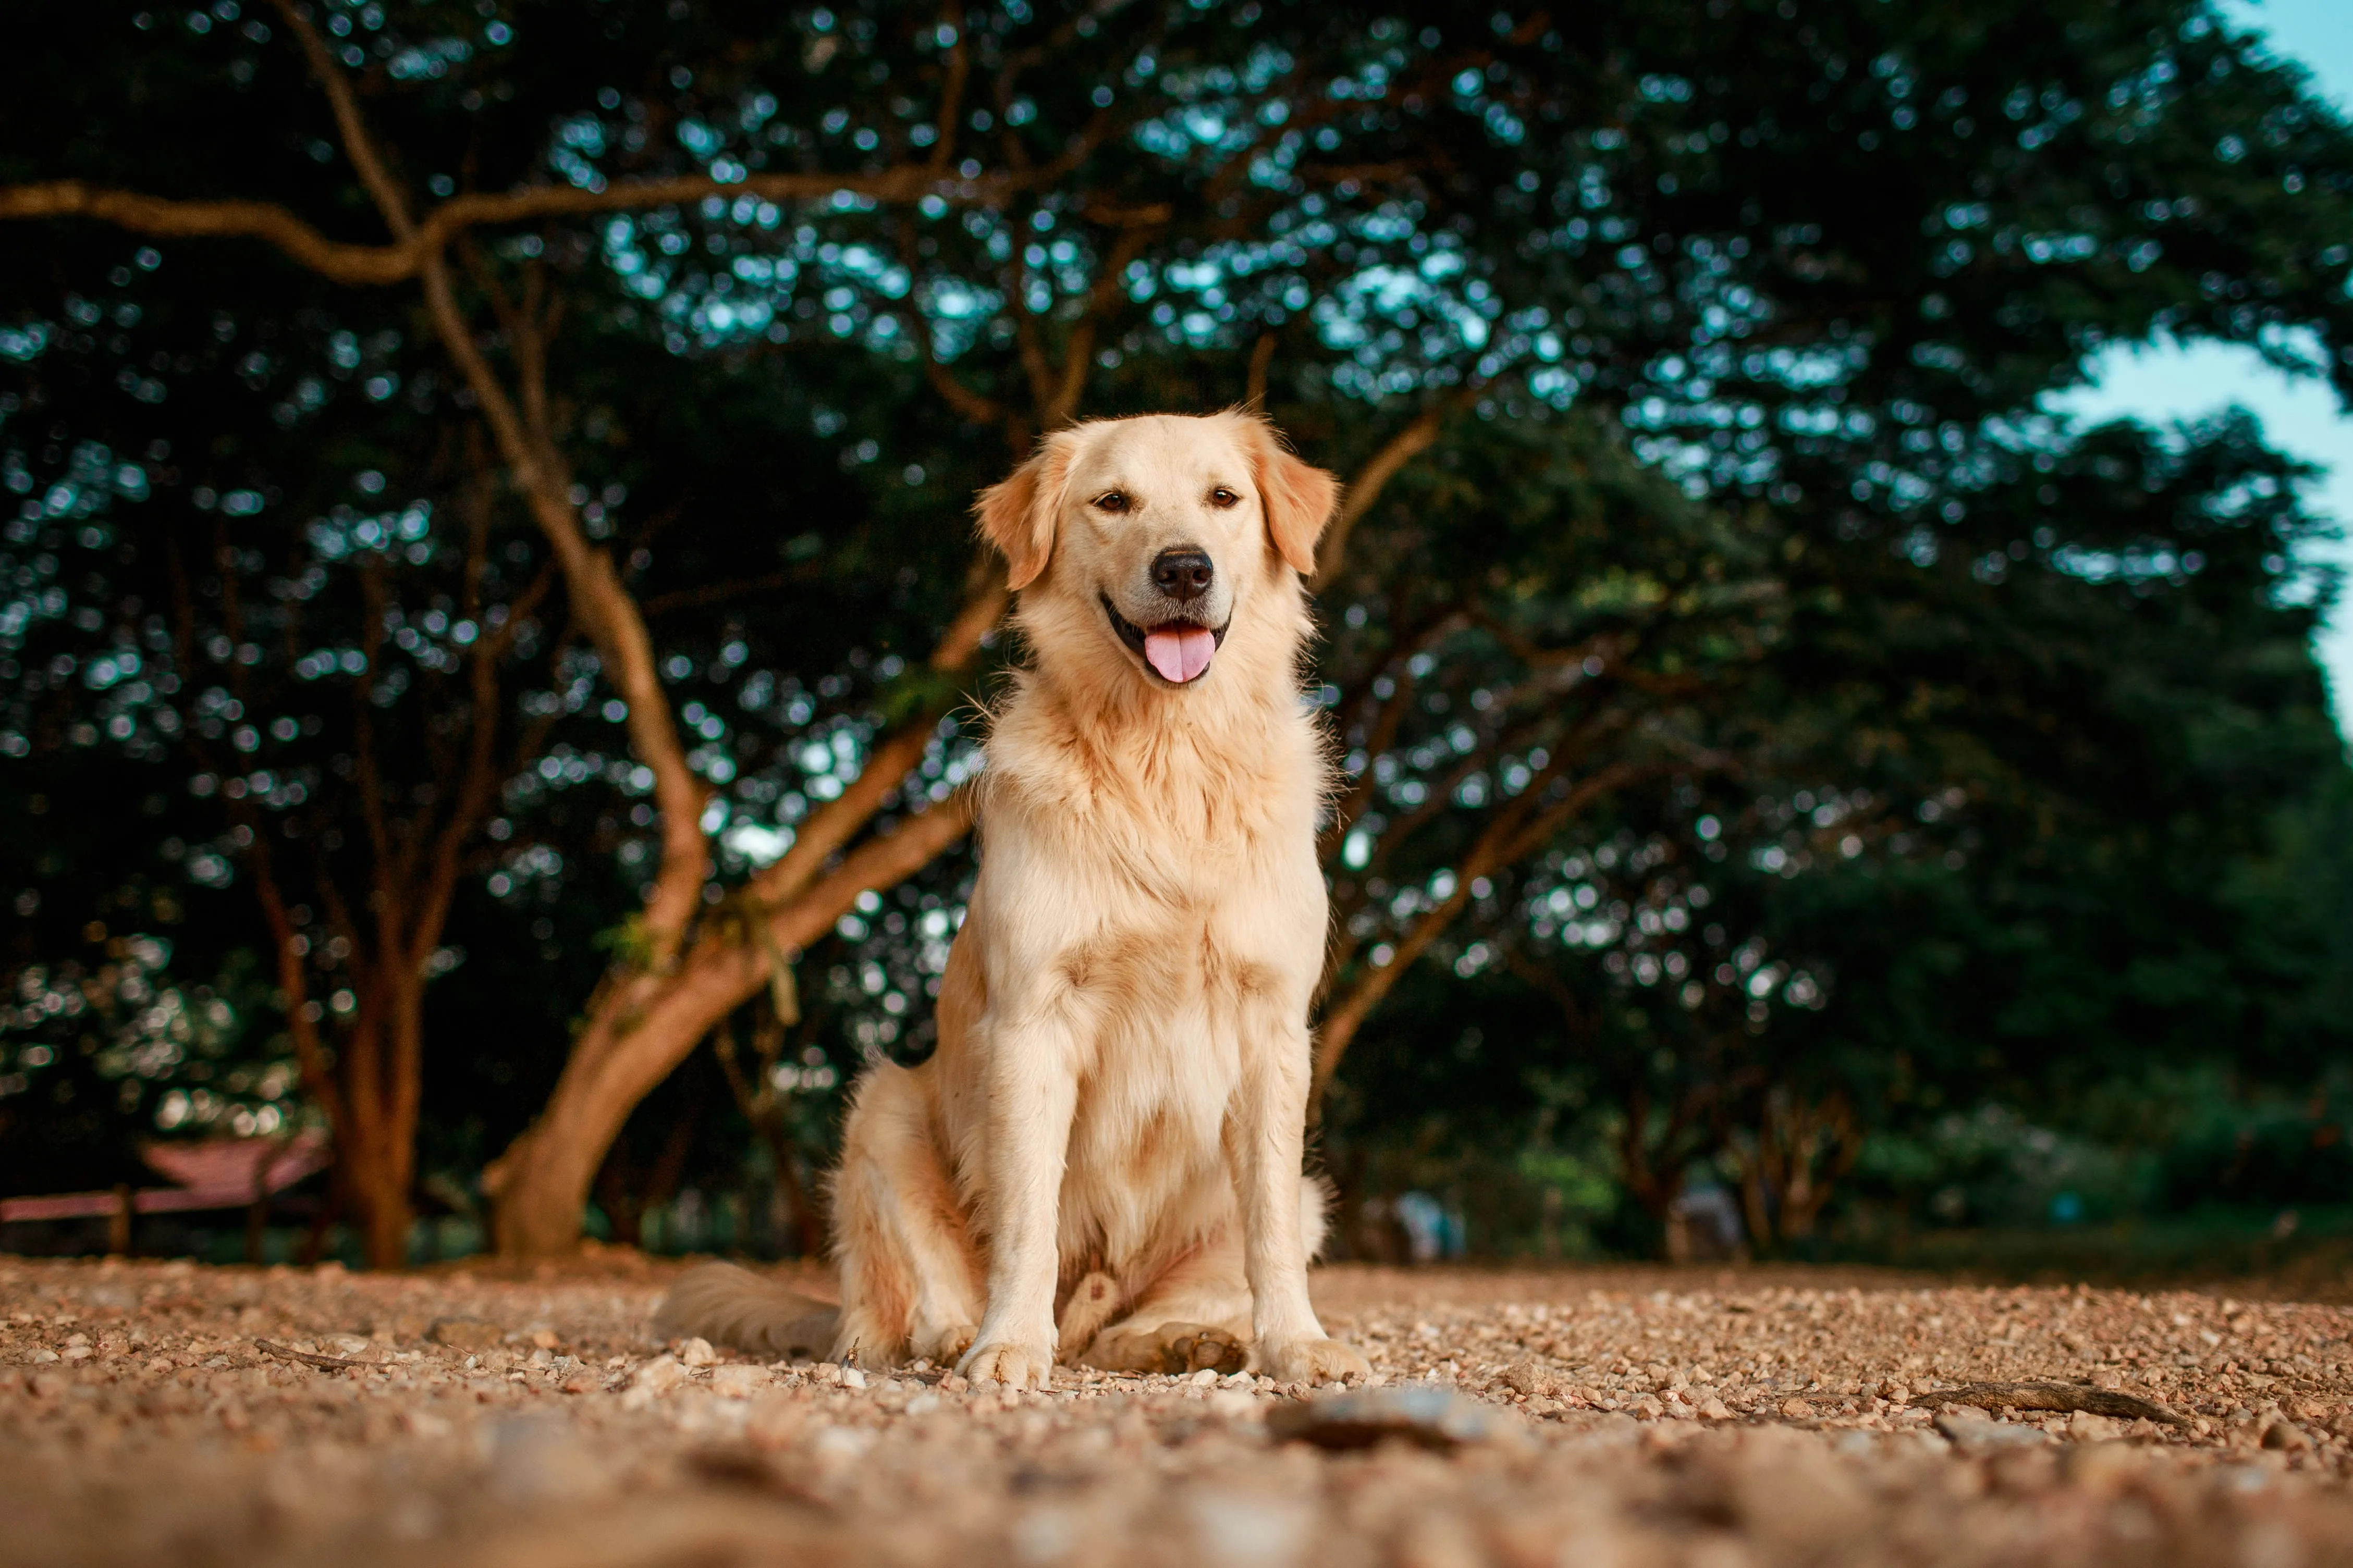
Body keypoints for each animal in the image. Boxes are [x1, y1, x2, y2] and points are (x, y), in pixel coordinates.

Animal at [654, 411, 1374, 1391]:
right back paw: (955, 1335)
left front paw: (1295, 1342)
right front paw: (1007, 1346)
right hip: (882, 1109)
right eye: (1113, 501)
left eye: (1224, 498)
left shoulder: (1271, 1029)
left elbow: (1265, 1228)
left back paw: (1182, 1340)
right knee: (893, 1312)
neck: (1165, 756)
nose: (1184, 569)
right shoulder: (1034, 1019)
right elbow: (1027, 1218)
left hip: (1298, 1194)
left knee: (1124, 1323)